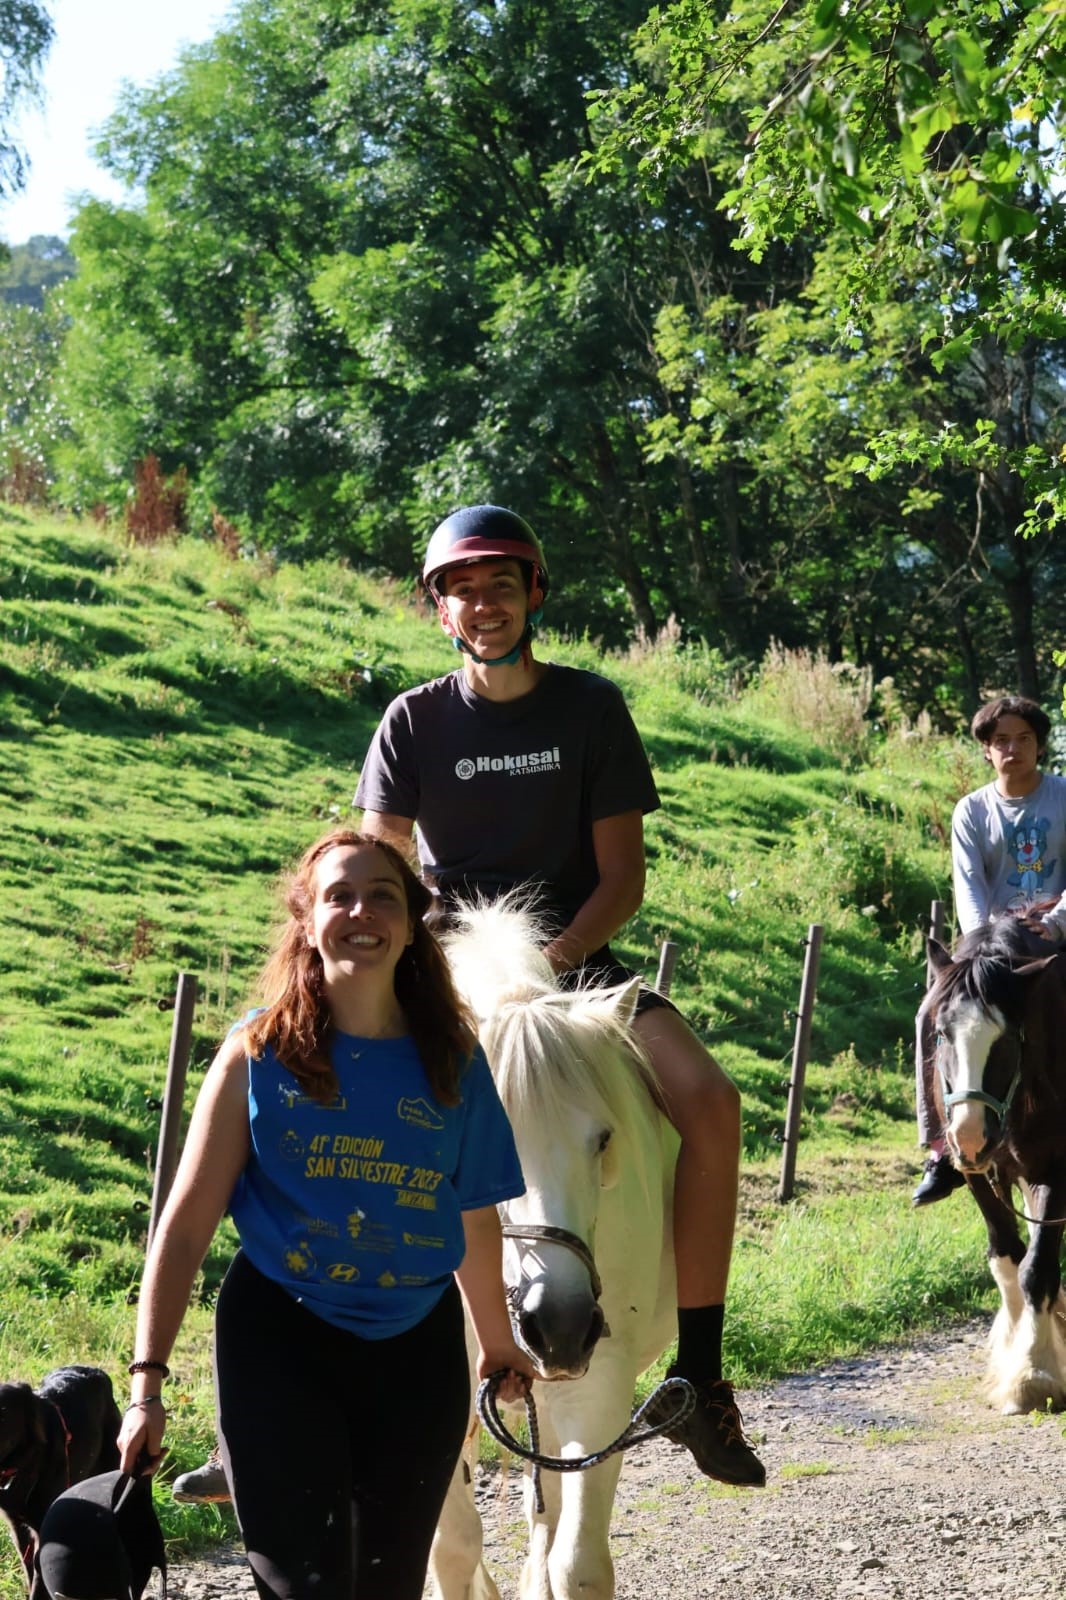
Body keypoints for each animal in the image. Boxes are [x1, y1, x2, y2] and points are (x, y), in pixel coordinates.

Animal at [927, 913, 1066, 1414]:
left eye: (1006, 1038)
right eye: (941, 1033)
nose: (970, 1135)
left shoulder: (1055, 1169)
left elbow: (1037, 1268)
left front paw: (1033, 1374)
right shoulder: (979, 1173)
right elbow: (1007, 1257)